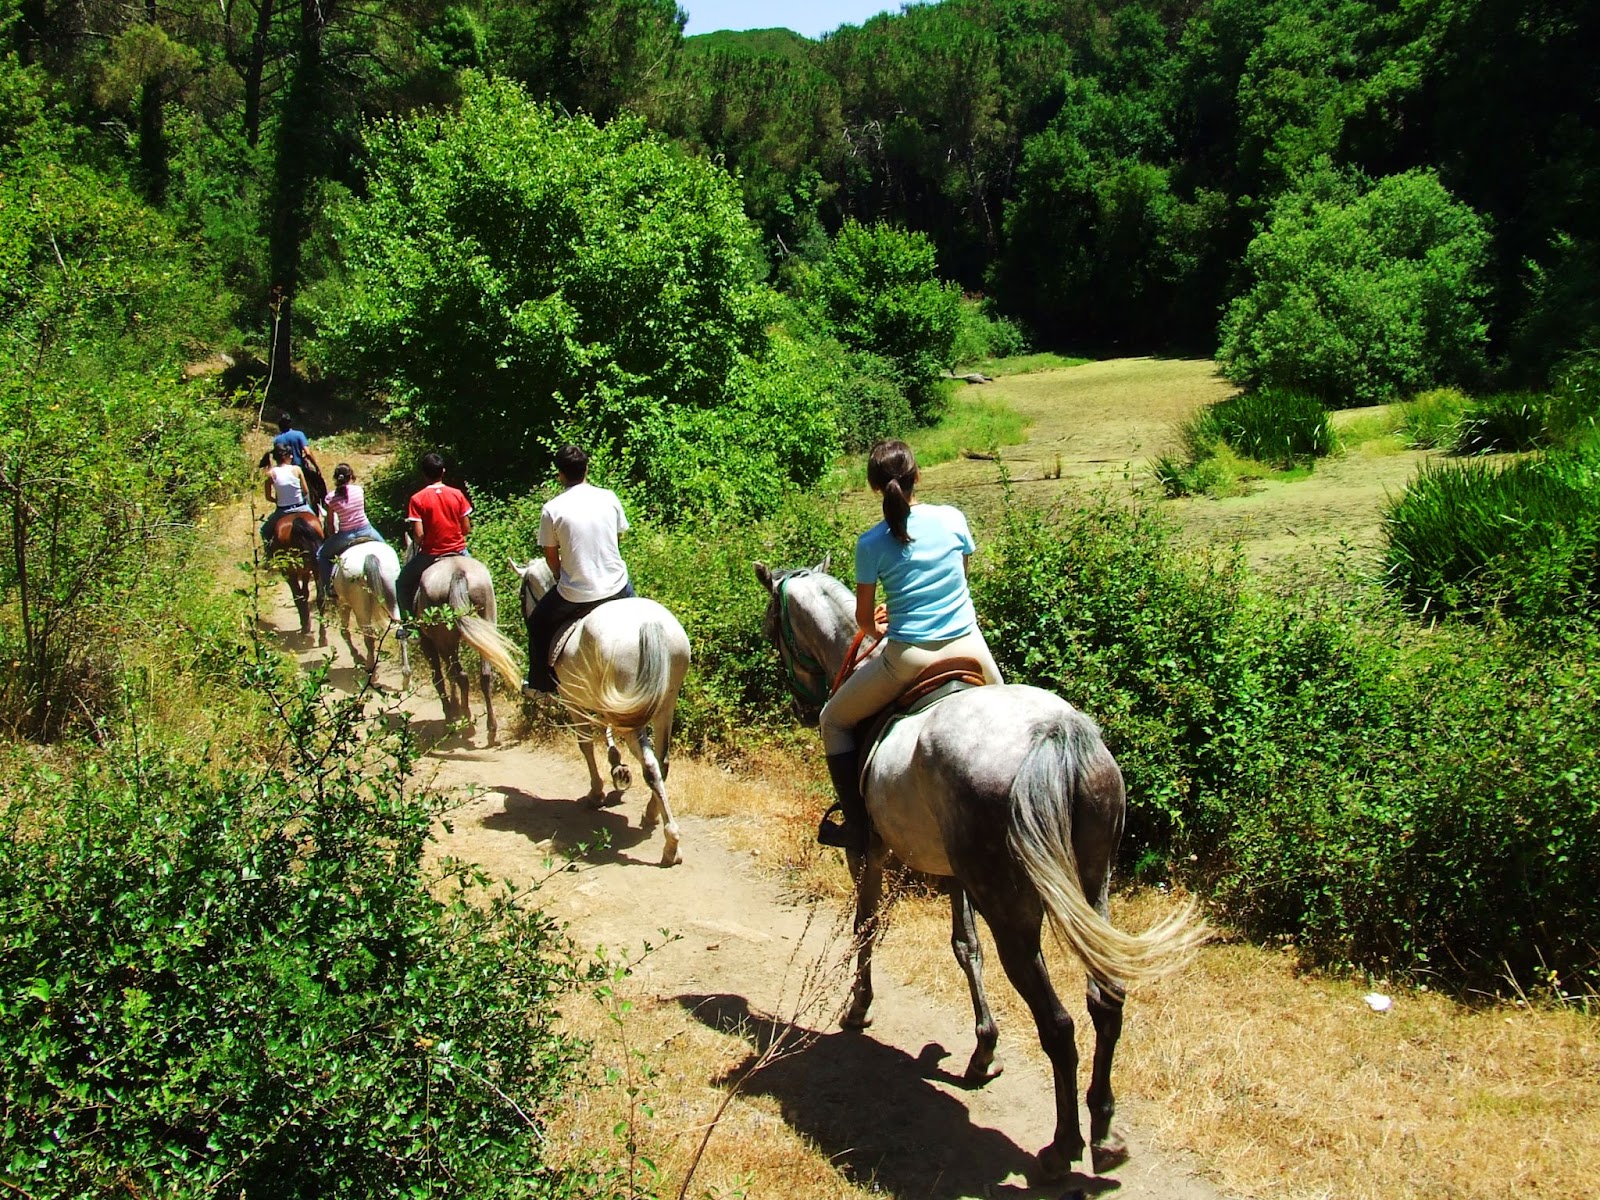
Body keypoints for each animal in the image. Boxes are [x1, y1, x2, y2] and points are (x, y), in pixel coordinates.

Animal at [268, 512, 324, 643]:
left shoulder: (289, 572)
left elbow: (299, 596)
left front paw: (305, 625)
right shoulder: (305, 571)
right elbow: (305, 594)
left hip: (290, 570)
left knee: (298, 596)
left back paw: (307, 630)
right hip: (316, 567)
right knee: (320, 597)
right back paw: (322, 637)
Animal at [326, 540, 406, 691]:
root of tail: (369, 556)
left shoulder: (343, 603)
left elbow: (344, 631)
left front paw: (356, 657)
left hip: (359, 607)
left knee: (368, 635)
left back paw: (369, 669)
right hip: (393, 596)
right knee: (400, 631)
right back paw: (407, 679)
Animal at [512, 560, 688, 870]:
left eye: (523, 594)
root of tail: (651, 626)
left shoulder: (573, 701)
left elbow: (584, 744)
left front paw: (597, 793)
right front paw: (617, 766)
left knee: (651, 766)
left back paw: (670, 844)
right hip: (662, 706)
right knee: (662, 761)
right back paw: (652, 814)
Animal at [755, 563, 1203, 1184]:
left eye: (772, 627)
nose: (801, 702)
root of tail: (1054, 735)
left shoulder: (873, 856)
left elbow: (867, 928)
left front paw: (858, 1007)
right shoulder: (957, 874)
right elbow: (965, 946)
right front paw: (982, 1050)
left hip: (1011, 908)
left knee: (1058, 1024)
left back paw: (1062, 1146)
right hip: (1092, 887)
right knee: (1105, 1000)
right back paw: (1104, 1131)